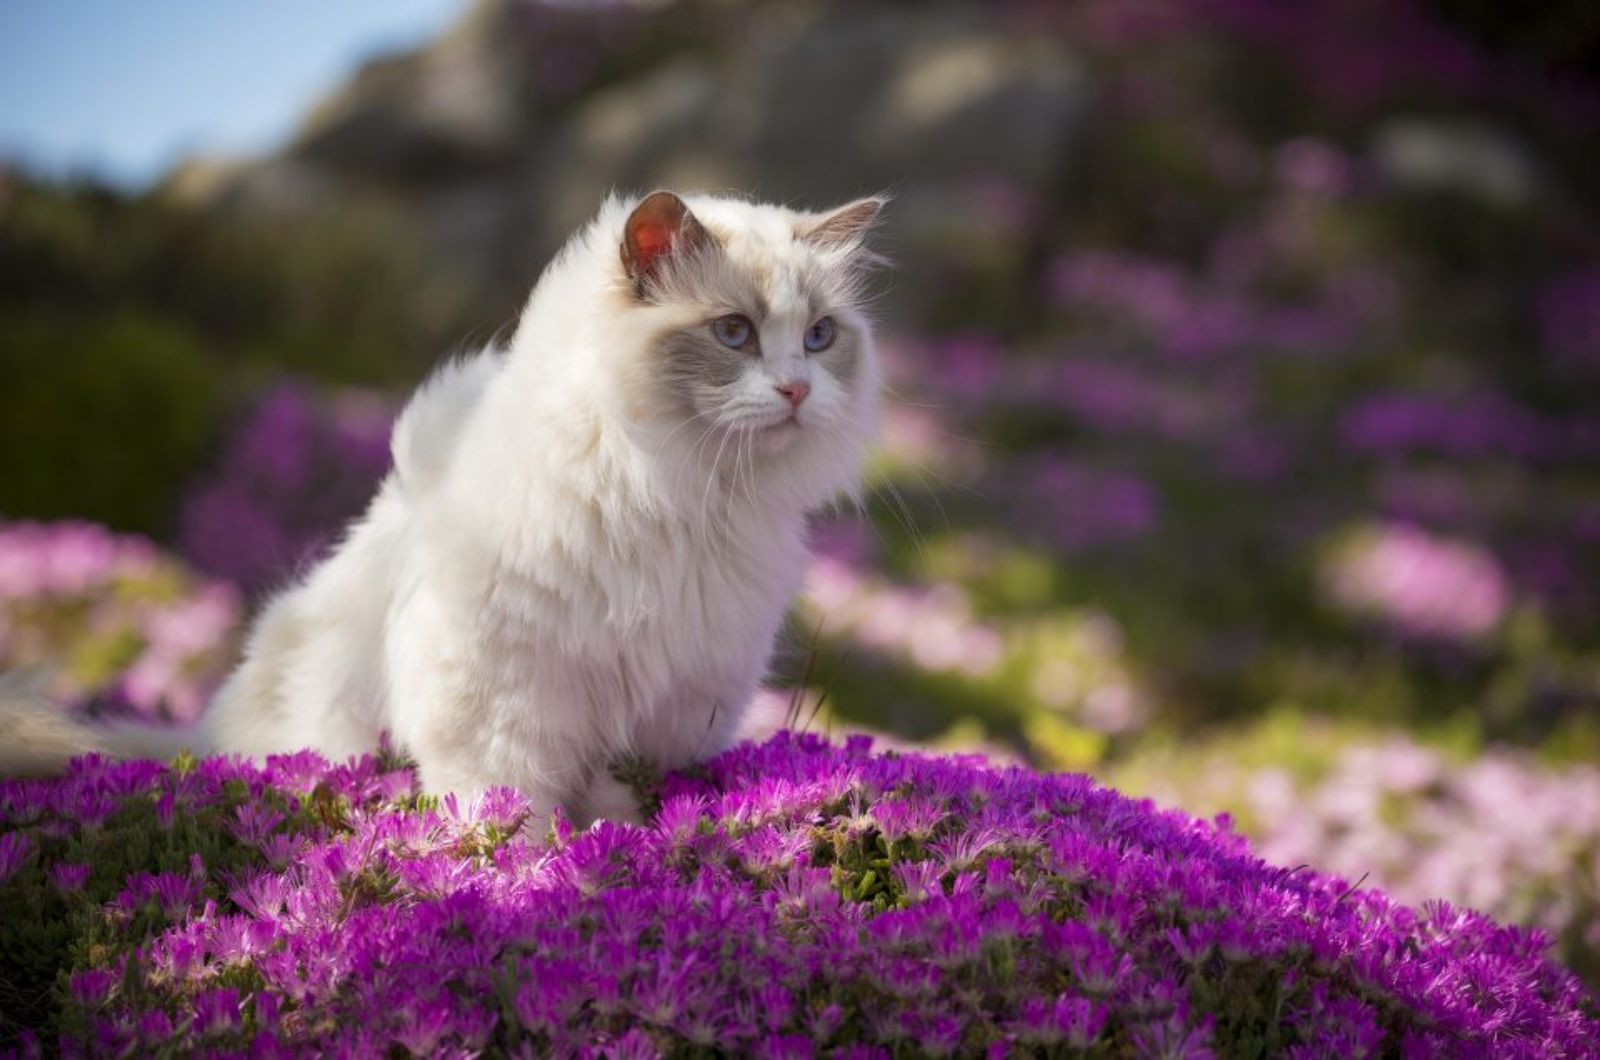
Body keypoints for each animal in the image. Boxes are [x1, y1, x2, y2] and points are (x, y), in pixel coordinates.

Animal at [0, 188, 889, 832]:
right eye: (733, 334)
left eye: (819, 337)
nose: (798, 390)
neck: (681, 495)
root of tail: (204, 739)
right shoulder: (504, 701)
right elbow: (511, 810)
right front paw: (538, 879)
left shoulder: (667, 706)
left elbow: (615, 803)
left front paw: (625, 855)